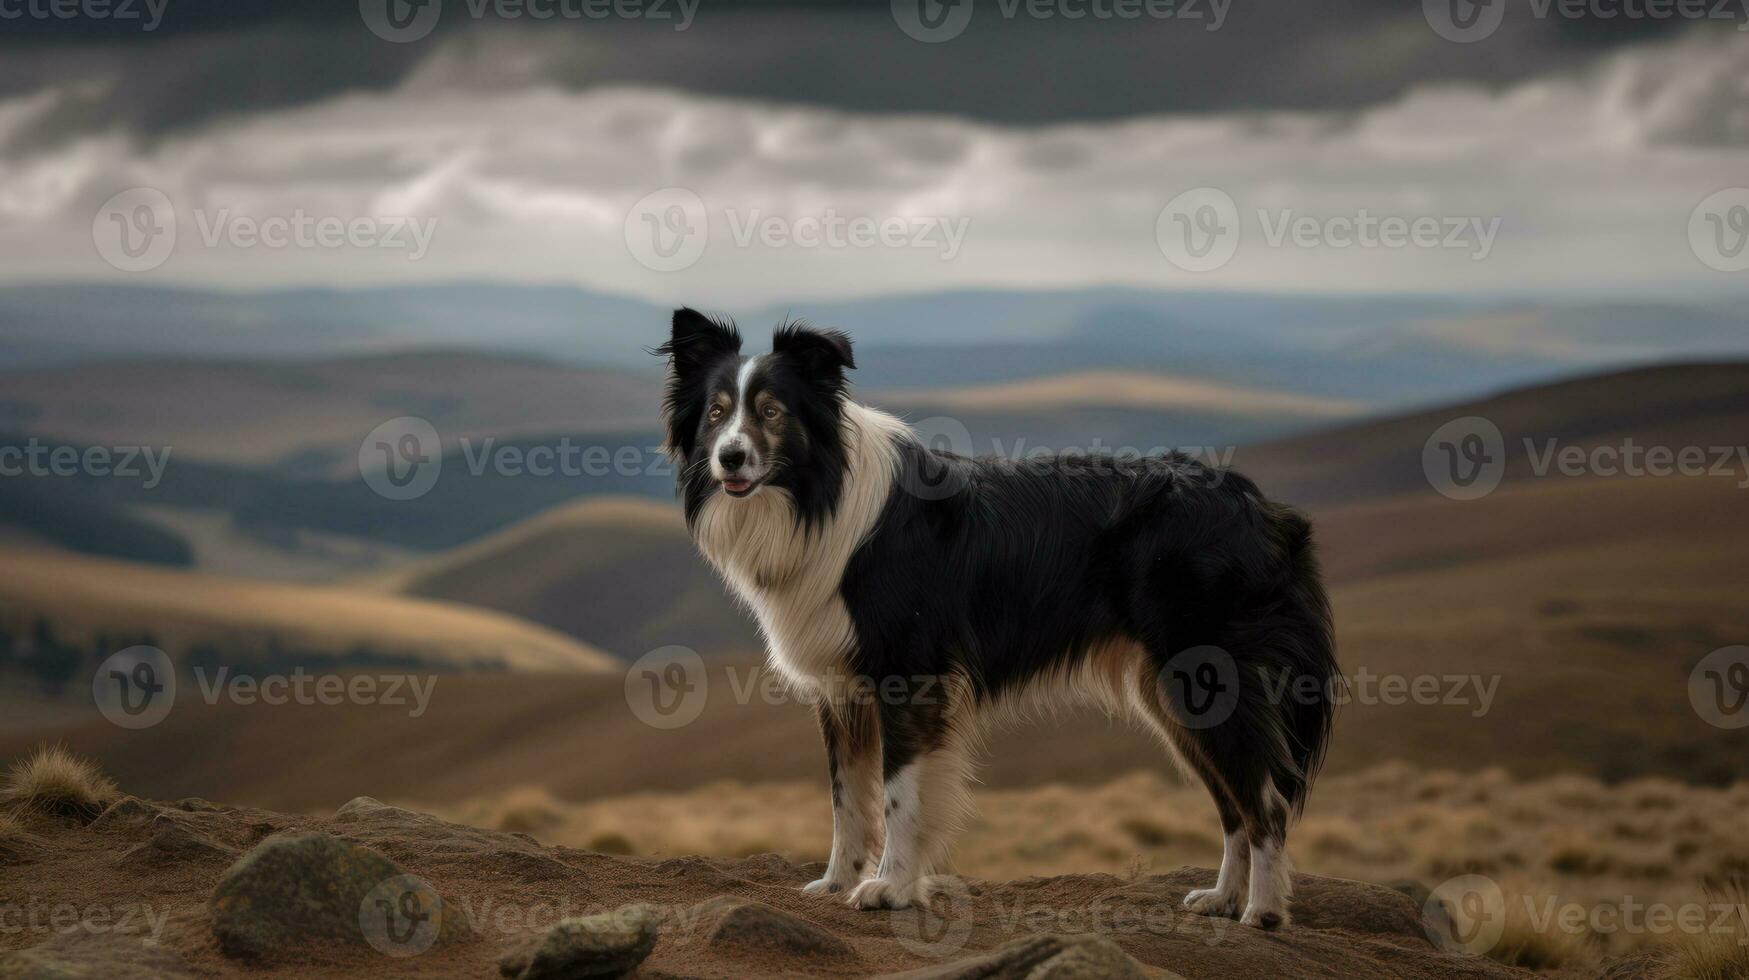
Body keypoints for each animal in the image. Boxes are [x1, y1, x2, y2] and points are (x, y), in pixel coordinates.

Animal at [657, 306, 1336, 924]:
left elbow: (898, 794)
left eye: (772, 411)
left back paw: (1262, 913)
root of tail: (1256, 504)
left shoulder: (909, 677)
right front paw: (836, 882)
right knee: (1235, 804)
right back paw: (1222, 900)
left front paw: (890, 888)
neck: (821, 496)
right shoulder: (840, 688)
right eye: (716, 412)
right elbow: (846, 798)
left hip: (1204, 676)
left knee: (1267, 803)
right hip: (1171, 694)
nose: (730, 458)